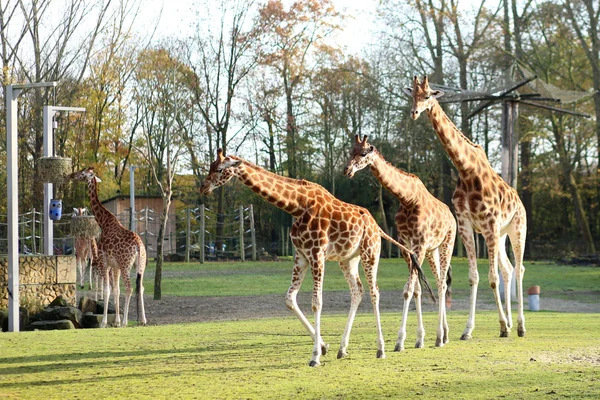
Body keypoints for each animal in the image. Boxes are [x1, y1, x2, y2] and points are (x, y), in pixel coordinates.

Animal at [70, 167, 148, 326]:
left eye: (83, 173)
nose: (72, 175)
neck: (104, 222)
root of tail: (138, 246)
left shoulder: (104, 262)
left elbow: (107, 290)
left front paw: (105, 322)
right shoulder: (115, 266)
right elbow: (116, 290)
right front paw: (116, 321)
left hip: (125, 265)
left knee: (130, 288)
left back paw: (125, 322)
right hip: (140, 265)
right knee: (141, 287)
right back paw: (143, 320)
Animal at [200, 149, 432, 366]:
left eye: (219, 169)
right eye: (210, 166)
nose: (203, 188)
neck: (296, 206)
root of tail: (378, 227)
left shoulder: (316, 254)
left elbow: (316, 302)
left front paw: (315, 357)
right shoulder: (301, 256)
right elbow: (289, 299)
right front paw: (323, 346)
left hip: (370, 253)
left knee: (374, 292)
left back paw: (381, 349)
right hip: (348, 259)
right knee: (358, 291)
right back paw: (342, 349)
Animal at [342, 134, 454, 350]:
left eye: (363, 153)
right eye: (350, 151)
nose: (347, 170)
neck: (408, 199)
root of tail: (452, 217)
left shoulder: (419, 245)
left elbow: (408, 290)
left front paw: (400, 341)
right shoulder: (407, 246)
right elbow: (416, 290)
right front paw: (419, 339)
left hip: (447, 244)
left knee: (442, 284)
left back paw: (439, 337)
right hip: (432, 251)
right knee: (439, 282)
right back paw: (444, 335)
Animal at [406, 74, 528, 338]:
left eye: (428, 95)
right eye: (412, 96)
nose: (414, 112)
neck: (466, 170)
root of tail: (520, 201)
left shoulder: (490, 223)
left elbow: (492, 278)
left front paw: (501, 327)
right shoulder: (466, 225)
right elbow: (474, 277)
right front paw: (468, 329)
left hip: (516, 229)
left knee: (519, 268)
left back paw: (520, 326)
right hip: (501, 234)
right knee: (508, 269)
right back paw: (511, 322)